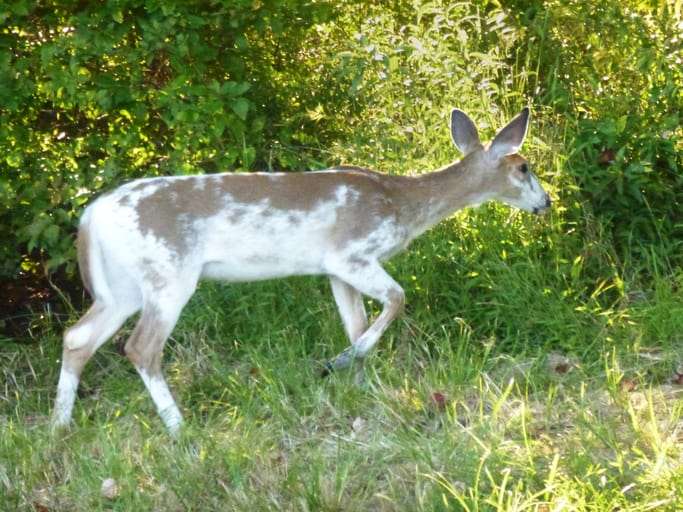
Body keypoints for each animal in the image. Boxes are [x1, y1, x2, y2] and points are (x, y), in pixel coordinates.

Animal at [53, 107, 552, 432]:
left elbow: (357, 323)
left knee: (78, 337)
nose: (546, 203)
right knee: (140, 347)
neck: (402, 203)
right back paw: (178, 427)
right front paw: (337, 364)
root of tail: (90, 216)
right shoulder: (352, 252)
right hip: (167, 273)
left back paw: (60, 425)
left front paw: (363, 386)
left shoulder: (335, 270)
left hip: (121, 287)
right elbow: (397, 299)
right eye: (524, 167)